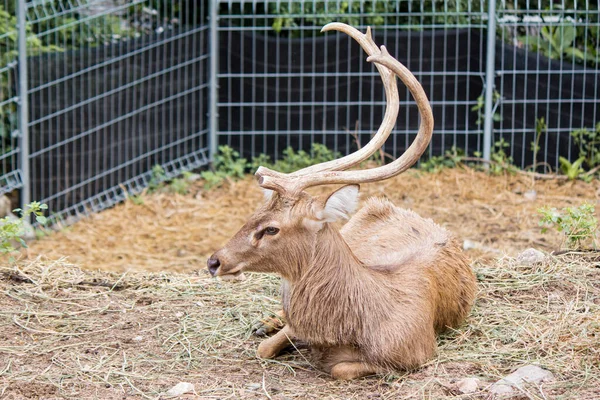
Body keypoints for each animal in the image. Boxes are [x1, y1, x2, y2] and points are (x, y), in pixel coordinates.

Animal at [207, 22, 478, 382]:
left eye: (271, 229)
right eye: (254, 213)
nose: (214, 261)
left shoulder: (418, 352)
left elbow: (341, 369)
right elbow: (265, 348)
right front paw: (268, 331)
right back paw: (265, 322)